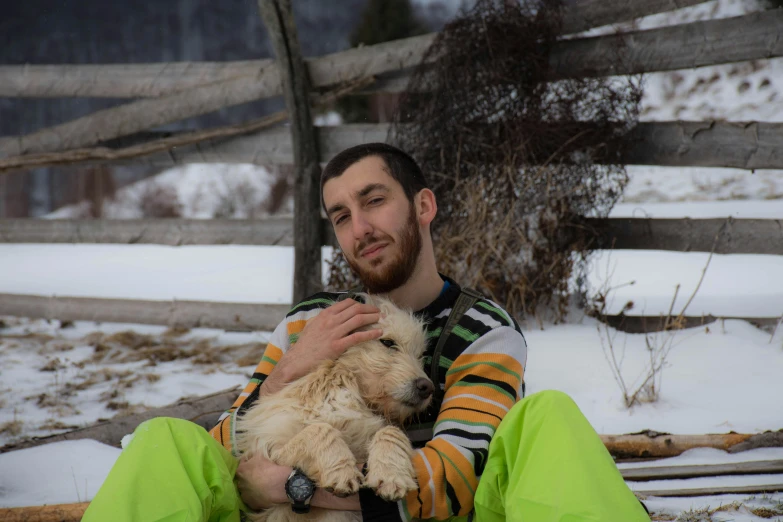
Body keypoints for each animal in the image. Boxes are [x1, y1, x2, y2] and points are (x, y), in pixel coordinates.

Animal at [237, 294, 434, 516]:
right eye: (387, 342)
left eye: (420, 355)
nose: (427, 388)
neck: (346, 388)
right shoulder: (267, 447)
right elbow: (319, 429)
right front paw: (341, 472)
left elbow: (391, 431)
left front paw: (392, 474)